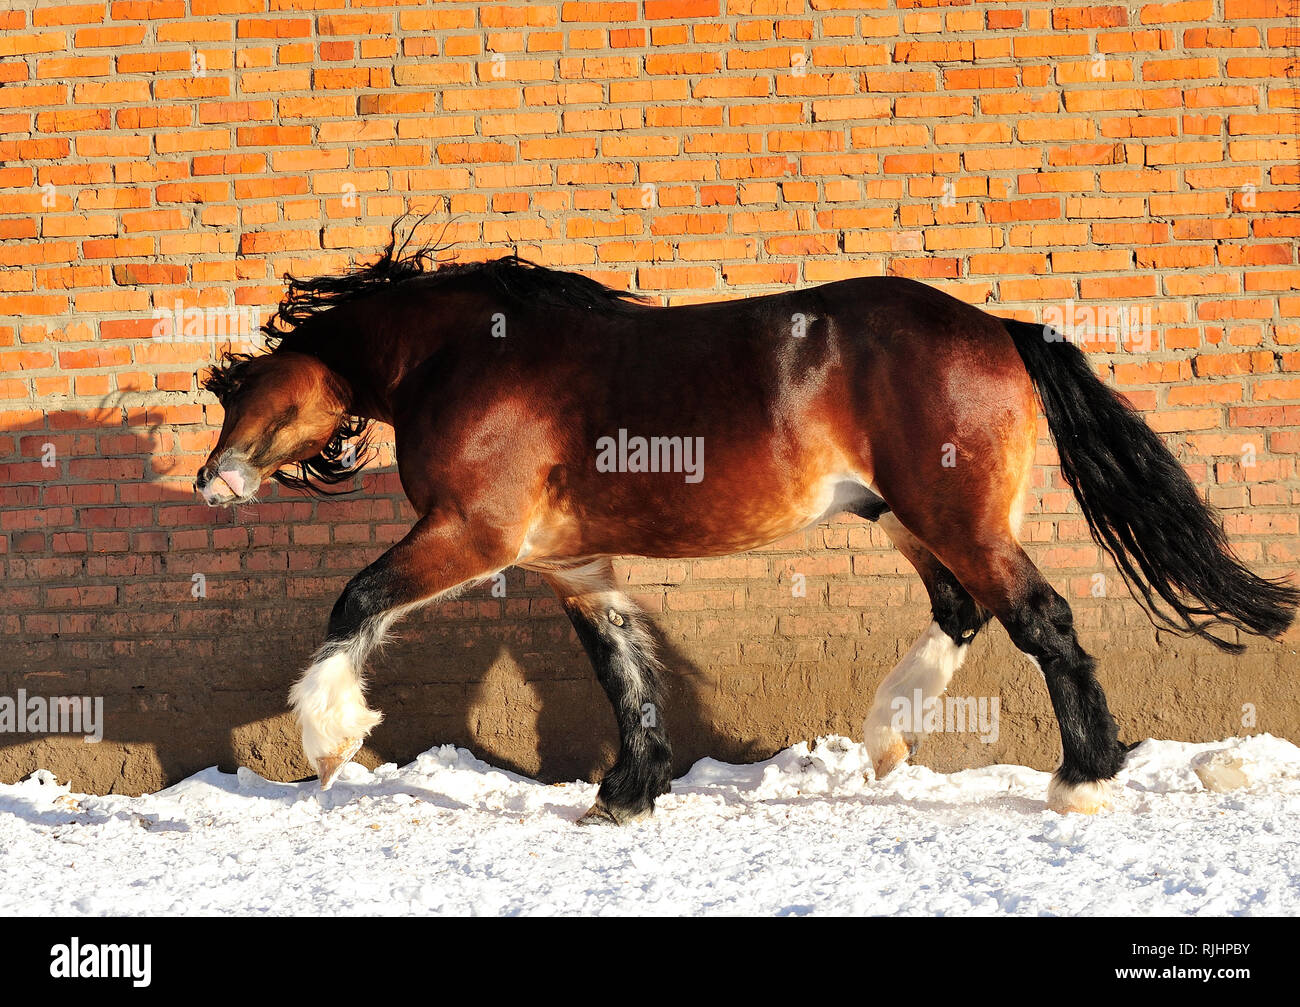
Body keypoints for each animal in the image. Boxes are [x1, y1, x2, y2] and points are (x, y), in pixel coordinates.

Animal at [196, 232, 1298, 823]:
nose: (212, 482)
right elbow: (622, 664)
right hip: (910, 516)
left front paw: (330, 737)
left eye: (240, 387)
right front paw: (626, 791)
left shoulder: (473, 535)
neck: (472, 357)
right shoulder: (569, 562)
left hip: (951, 514)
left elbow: (358, 599)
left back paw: (1080, 779)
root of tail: (1001, 329)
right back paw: (887, 738)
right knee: (963, 610)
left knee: (1041, 617)